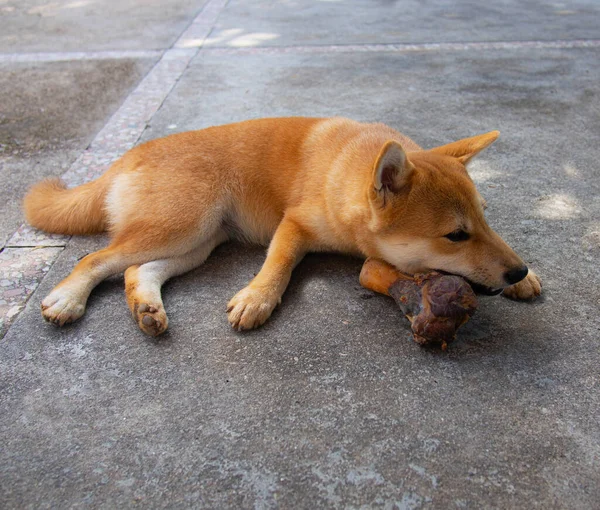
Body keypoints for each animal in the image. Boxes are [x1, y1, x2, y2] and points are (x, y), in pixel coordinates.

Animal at [23, 117, 540, 336]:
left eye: (485, 218)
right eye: (456, 235)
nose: (515, 271)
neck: (344, 169)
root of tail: (127, 155)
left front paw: (526, 276)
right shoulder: (293, 225)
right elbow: (280, 264)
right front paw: (258, 297)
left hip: (198, 242)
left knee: (137, 270)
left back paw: (146, 307)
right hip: (183, 225)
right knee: (95, 258)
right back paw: (67, 299)